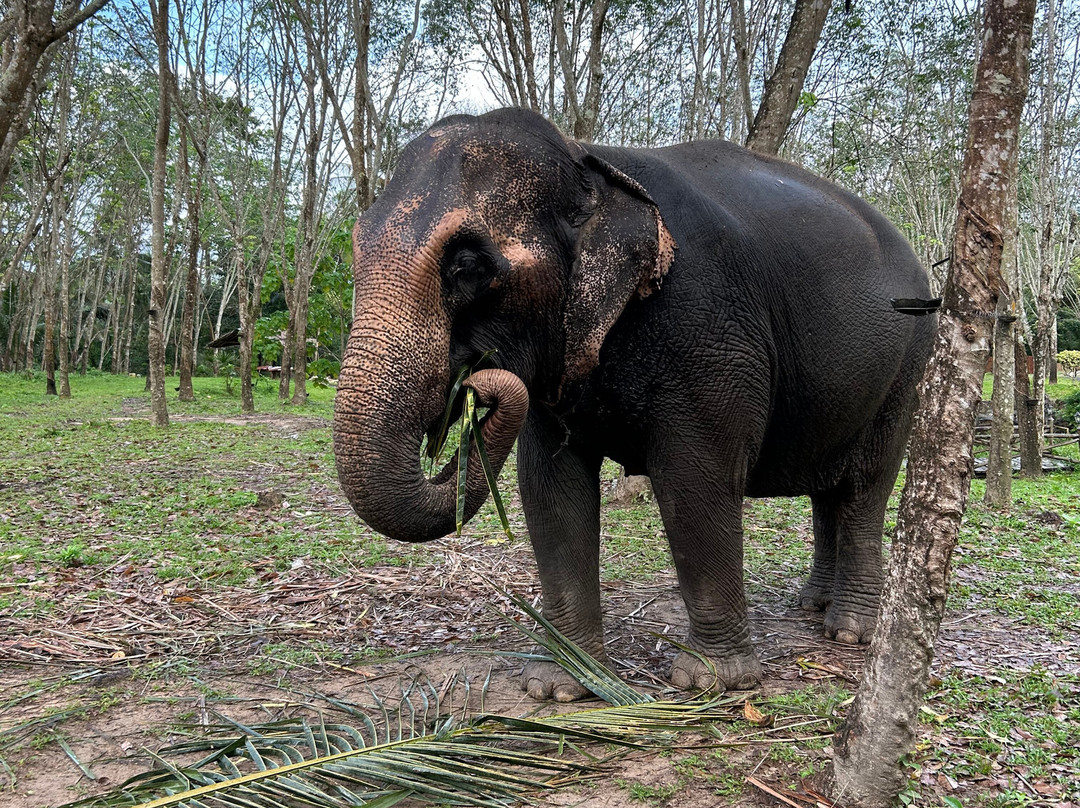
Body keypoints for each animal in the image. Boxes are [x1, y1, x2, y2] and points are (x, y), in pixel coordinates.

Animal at [333, 108, 936, 701]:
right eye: (355, 250)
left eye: (467, 265)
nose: (476, 385)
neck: (588, 159)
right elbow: (550, 487)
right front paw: (560, 686)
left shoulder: (709, 331)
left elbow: (695, 479)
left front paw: (711, 682)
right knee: (827, 490)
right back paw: (813, 605)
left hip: (910, 361)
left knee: (865, 486)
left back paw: (849, 630)